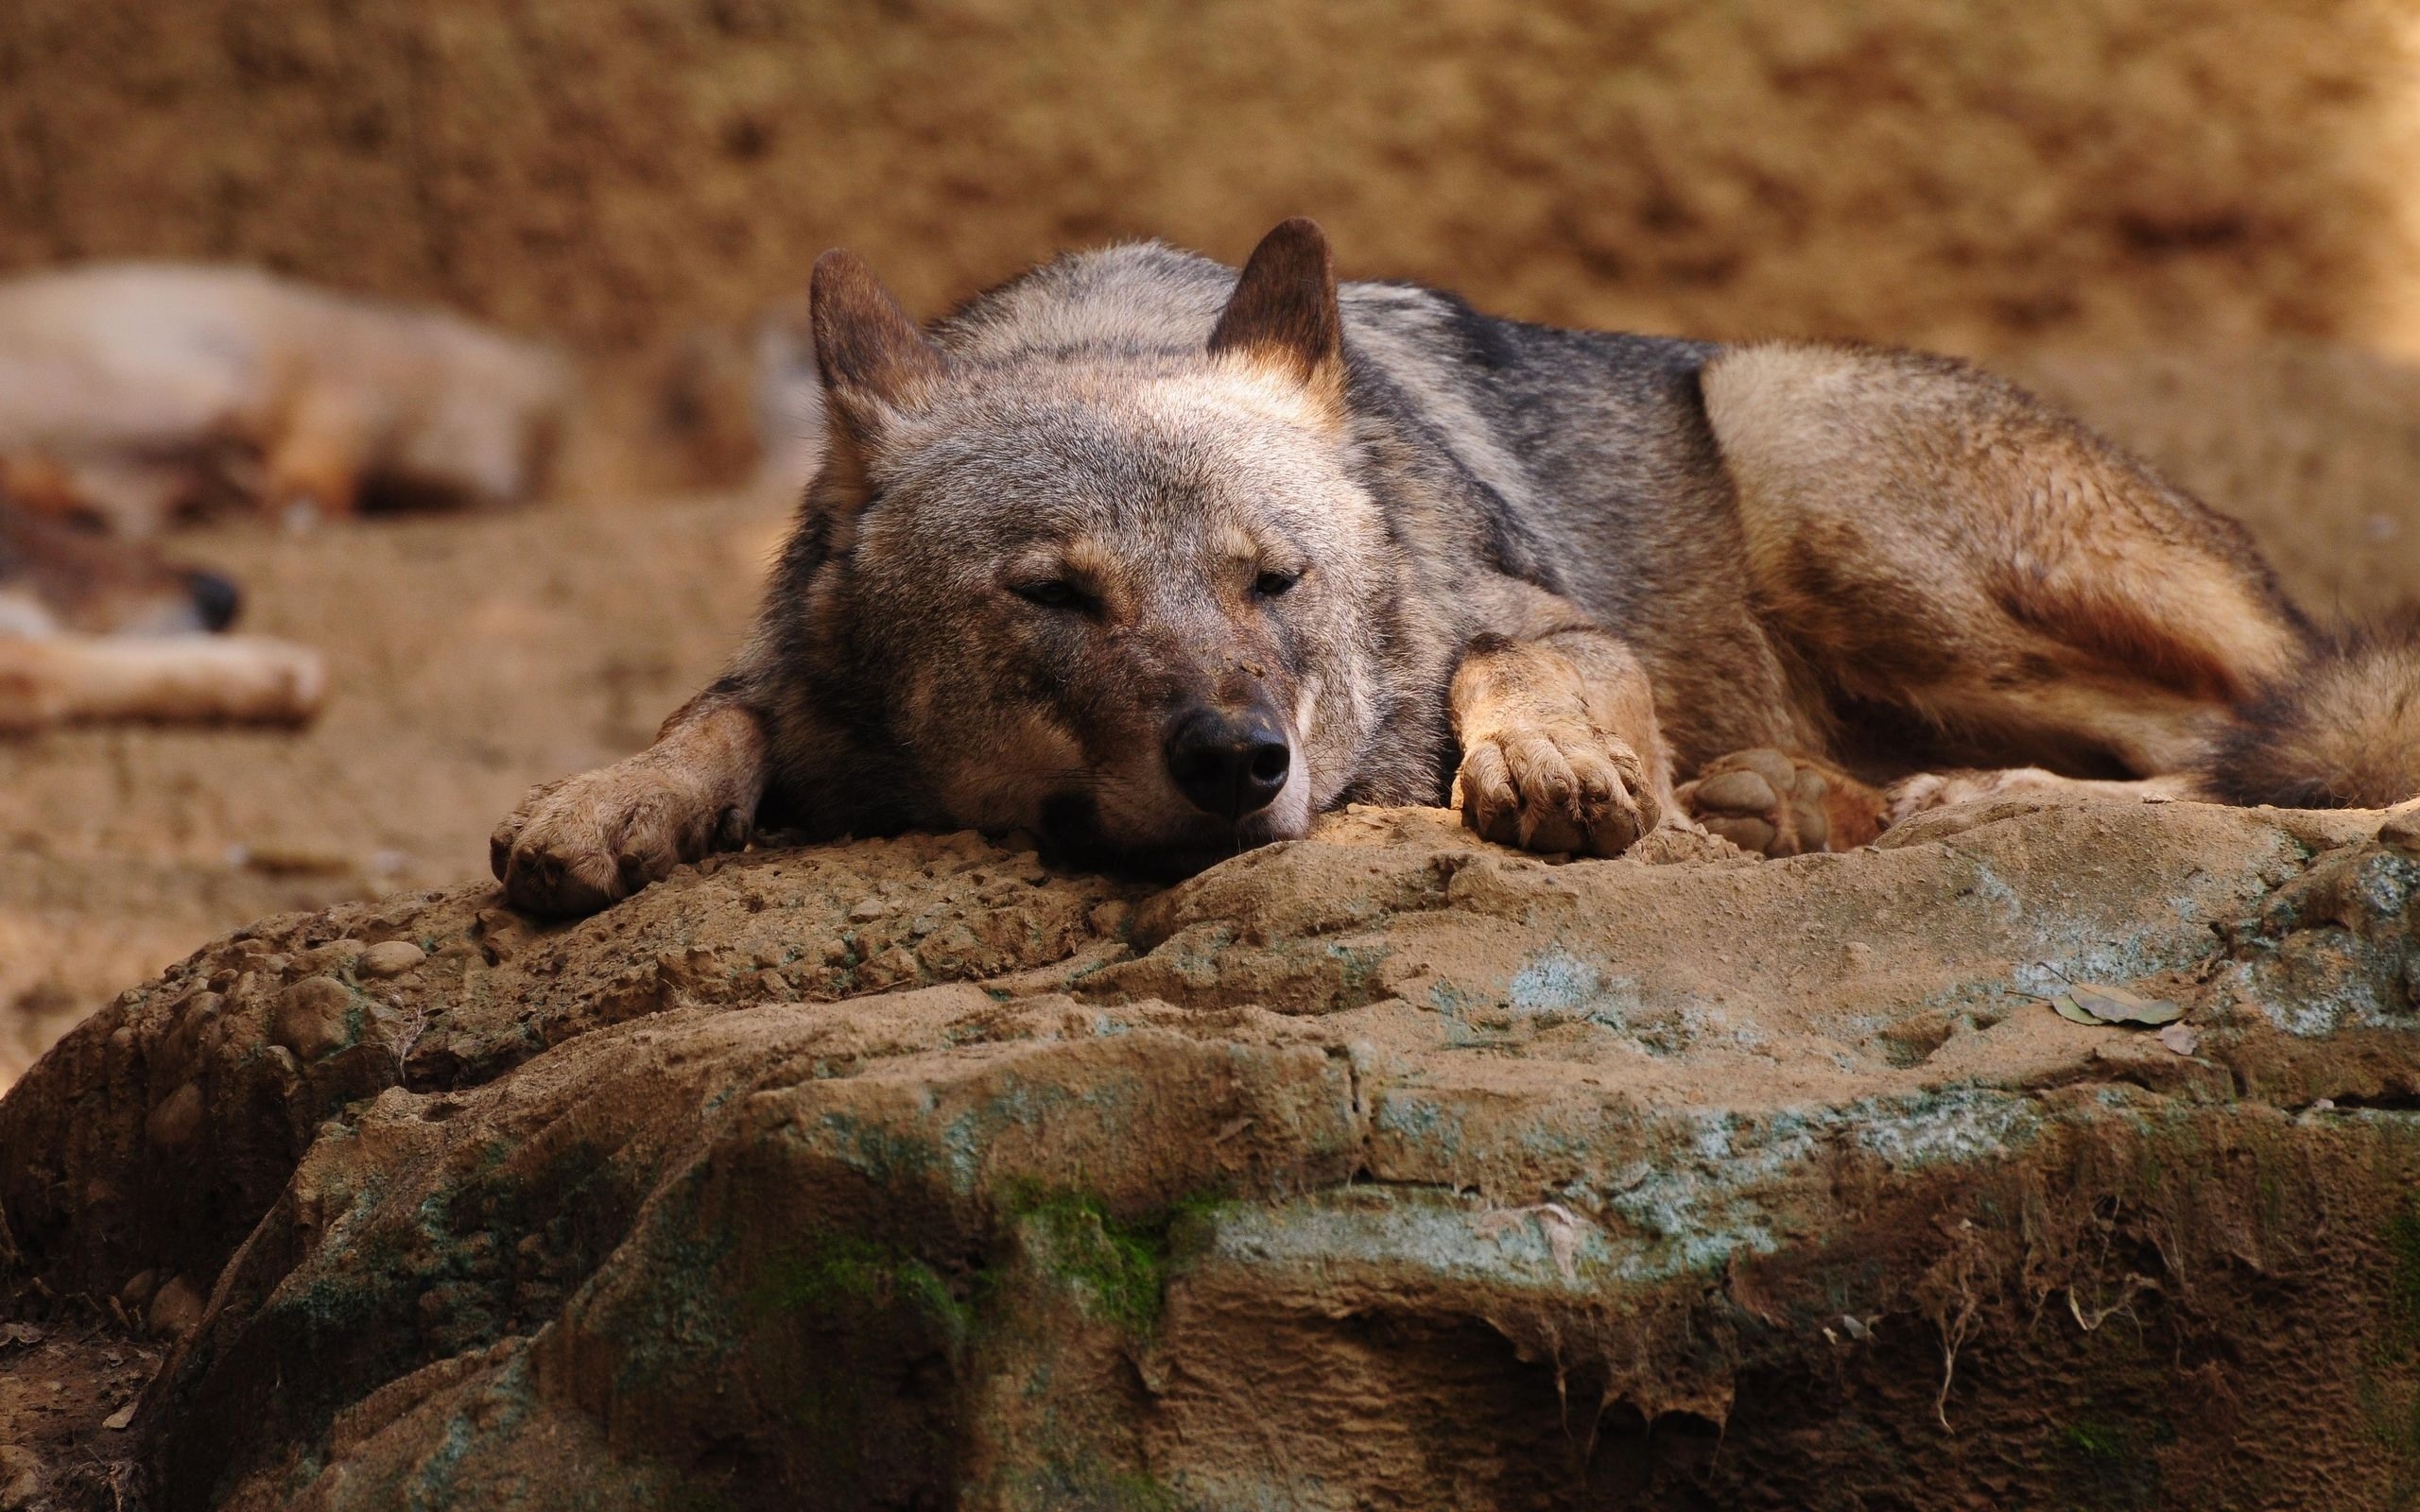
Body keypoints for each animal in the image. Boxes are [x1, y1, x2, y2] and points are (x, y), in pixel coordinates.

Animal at [486, 217, 2420, 914]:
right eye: (1054, 596)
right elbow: (714, 719)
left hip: (1799, 446)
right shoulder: (783, 677)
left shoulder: (1527, 611)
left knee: (2238, 747)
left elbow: (1527, 661)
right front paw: (602, 803)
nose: (1239, 760)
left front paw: (1555, 766)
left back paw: (1910, 801)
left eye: (1274, 584)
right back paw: (1804, 797)